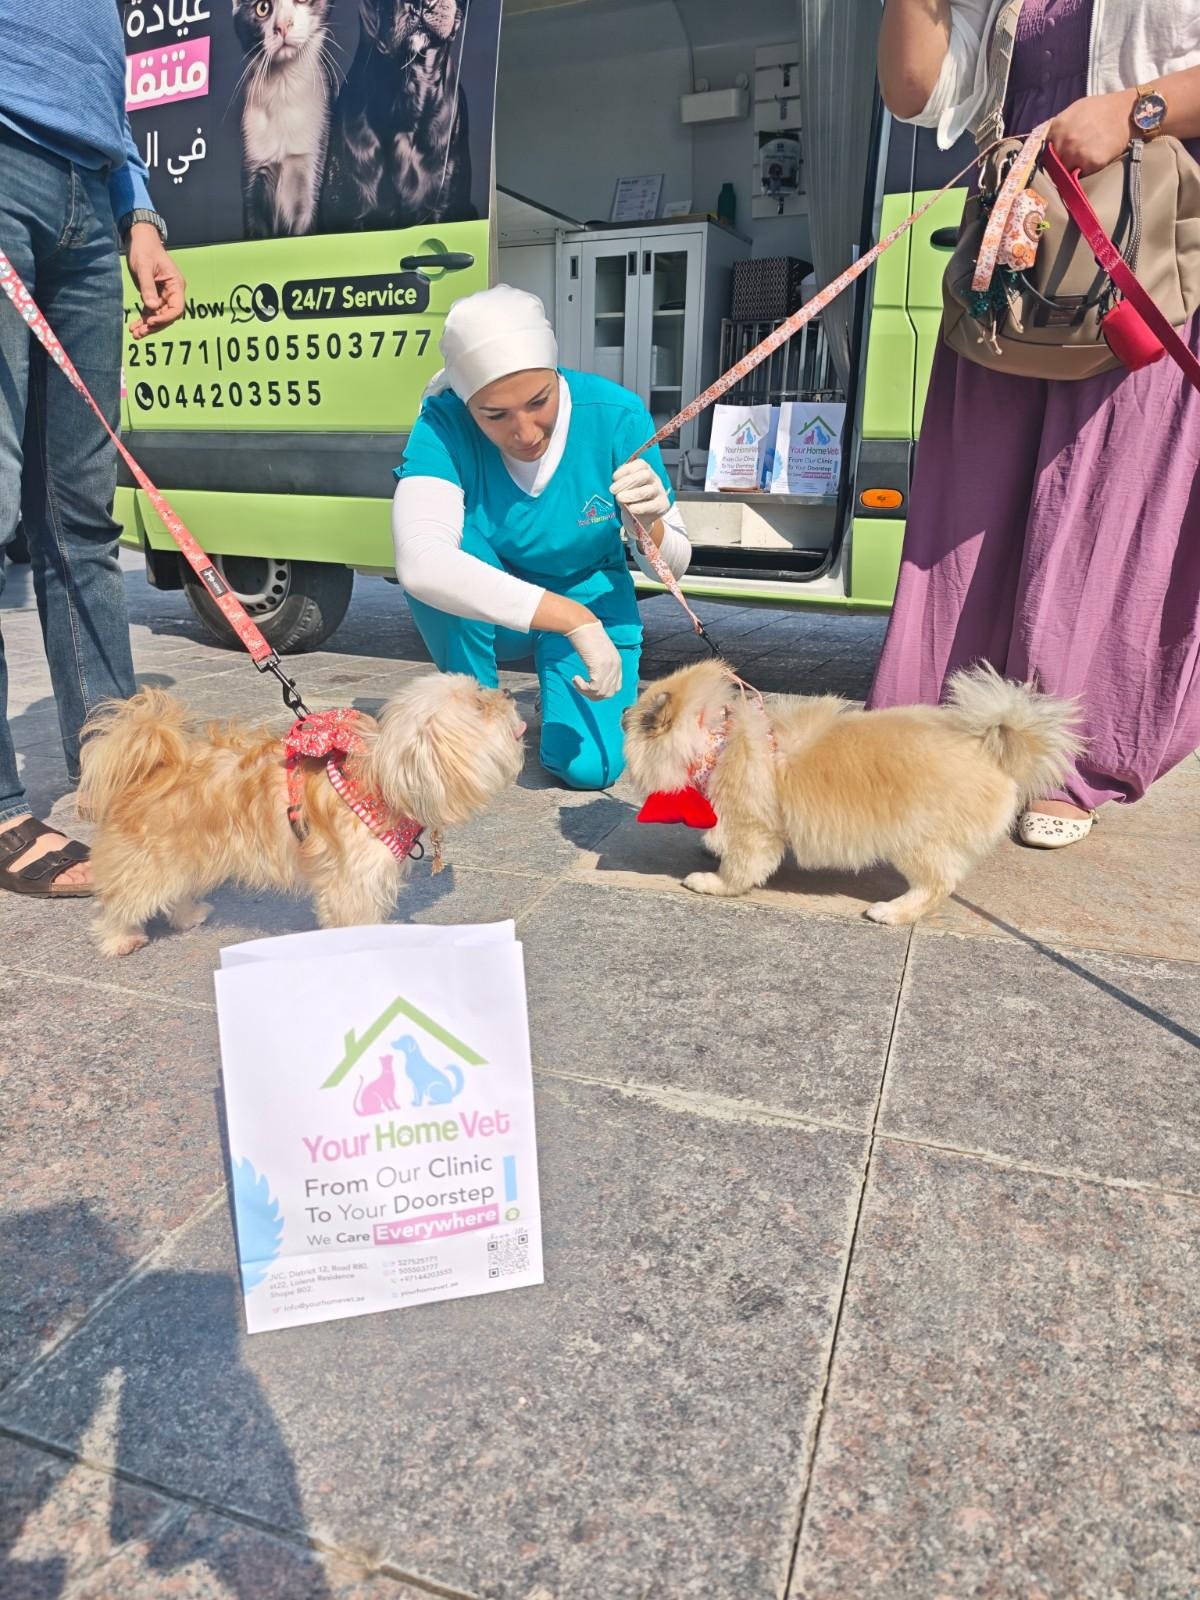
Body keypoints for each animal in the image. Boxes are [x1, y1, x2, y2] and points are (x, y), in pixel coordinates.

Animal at [79, 674, 525, 956]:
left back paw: (188, 916)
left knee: (175, 892)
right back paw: (118, 939)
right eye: (480, 705)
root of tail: (158, 764)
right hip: (152, 859)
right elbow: (355, 921)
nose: (508, 691)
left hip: (189, 853)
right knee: (121, 901)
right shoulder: (351, 884)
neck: (382, 779)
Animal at [622, 659, 1082, 925]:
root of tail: (992, 749)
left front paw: (710, 881)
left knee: (937, 885)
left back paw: (891, 912)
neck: (714, 744)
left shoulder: (755, 830)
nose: (623, 709)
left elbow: (738, 870)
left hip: (917, 839)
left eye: (638, 712)